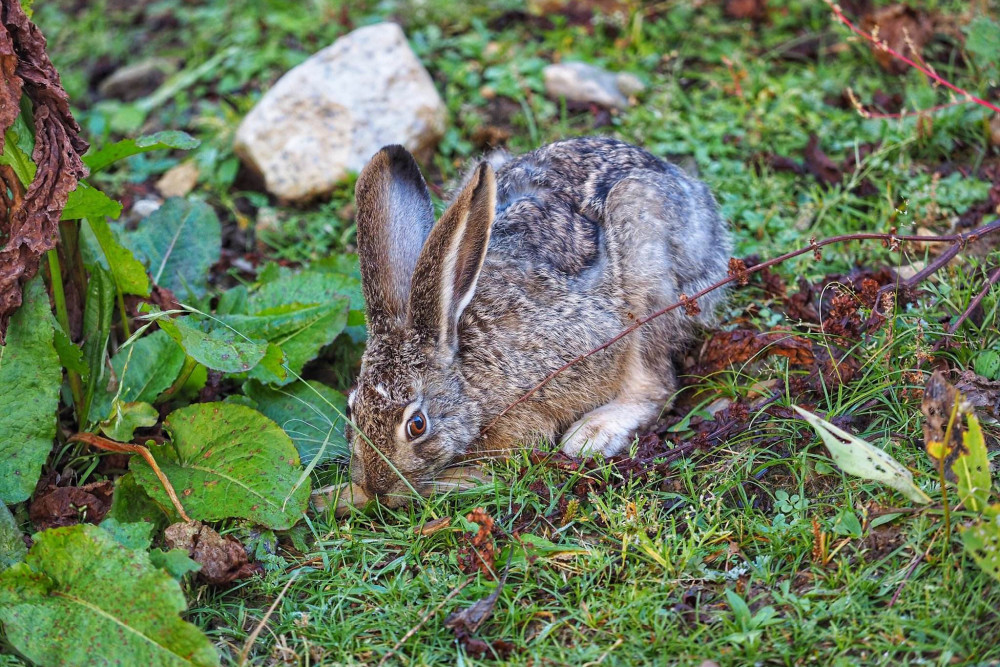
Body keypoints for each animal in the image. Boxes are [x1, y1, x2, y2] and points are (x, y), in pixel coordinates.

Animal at [346, 138, 736, 508]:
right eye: (352, 410)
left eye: (417, 425)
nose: (376, 488)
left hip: (646, 271)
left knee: (657, 383)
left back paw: (593, 433)